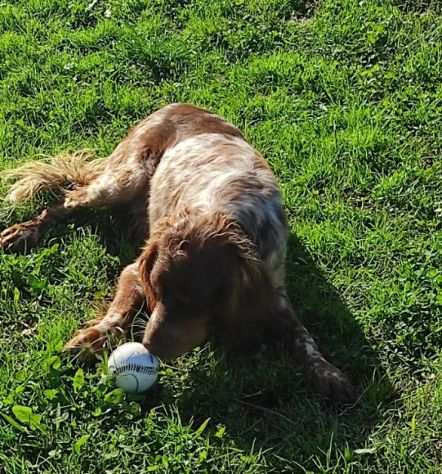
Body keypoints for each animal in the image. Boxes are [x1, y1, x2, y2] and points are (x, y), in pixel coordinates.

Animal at [0, 102, 356, 402]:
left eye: (194, 302)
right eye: (157, 291)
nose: (148, 347)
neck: (221, 213)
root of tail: (174, 105)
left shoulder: (274, 288)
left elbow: (303, 337)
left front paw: (329, 374)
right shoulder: (135, 270)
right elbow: (118, 313)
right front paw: (89, 340)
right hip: (123, 179)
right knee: (67, 199)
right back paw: (23, 232)